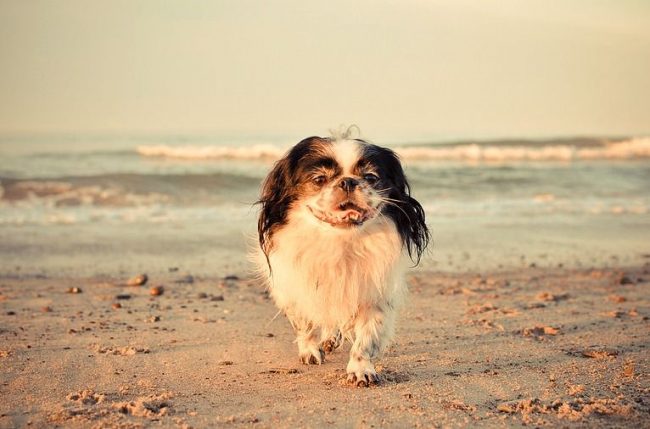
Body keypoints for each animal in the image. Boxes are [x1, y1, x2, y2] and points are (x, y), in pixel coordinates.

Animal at [254, 130, 430, 384]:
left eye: (370, 177)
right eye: (319, 179)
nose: (348, 181)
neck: (340, 242)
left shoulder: (374, 293)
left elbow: (366, 337)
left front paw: (360, 369)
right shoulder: (292, 288)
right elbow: (304, 322)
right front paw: (310, 351)